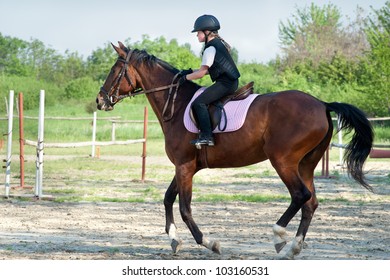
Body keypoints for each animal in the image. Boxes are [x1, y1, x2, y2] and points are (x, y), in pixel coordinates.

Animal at [96, 42, 374, 260]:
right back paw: (292, 248)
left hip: (283, 161)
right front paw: (174, 240)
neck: (177, 104)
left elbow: (185, 208)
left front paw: (209, 242)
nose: (100, 101)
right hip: (305, 164)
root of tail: (322, 104)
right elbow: (167, 198)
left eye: (114, 71)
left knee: (300, 195)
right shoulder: (185, 166)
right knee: (311, 202)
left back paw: (278, 237)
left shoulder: (184, 166)